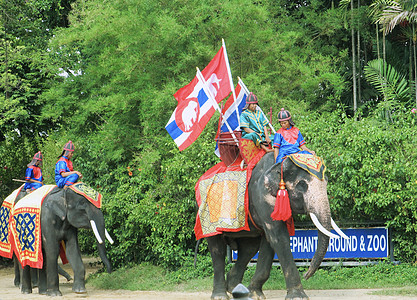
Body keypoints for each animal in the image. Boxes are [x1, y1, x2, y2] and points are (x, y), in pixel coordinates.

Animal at [203, 154, 346, 300]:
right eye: (302, 185)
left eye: (326, 182)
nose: (306, 275)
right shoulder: (263, 197)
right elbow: (279, 237)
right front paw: (298, 297)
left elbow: (269, 241)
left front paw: (256, 295)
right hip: (207, 217)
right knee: (217, 249)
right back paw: (220, 295)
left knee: (249, 249)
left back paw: (235, 290)